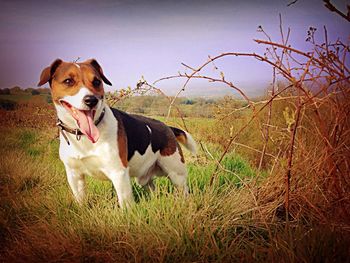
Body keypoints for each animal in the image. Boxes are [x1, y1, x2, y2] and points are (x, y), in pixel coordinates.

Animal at [39, 58, 197, 208]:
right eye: (68, 81)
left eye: (96, 81)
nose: (91, 100)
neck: (83, 136)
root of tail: (167, 127)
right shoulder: (74, 175)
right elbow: (80, 201)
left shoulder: (119, 173)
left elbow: (126, 205)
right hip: (144, 178)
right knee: (151, 188)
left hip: (176, 174)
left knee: (183, 191)